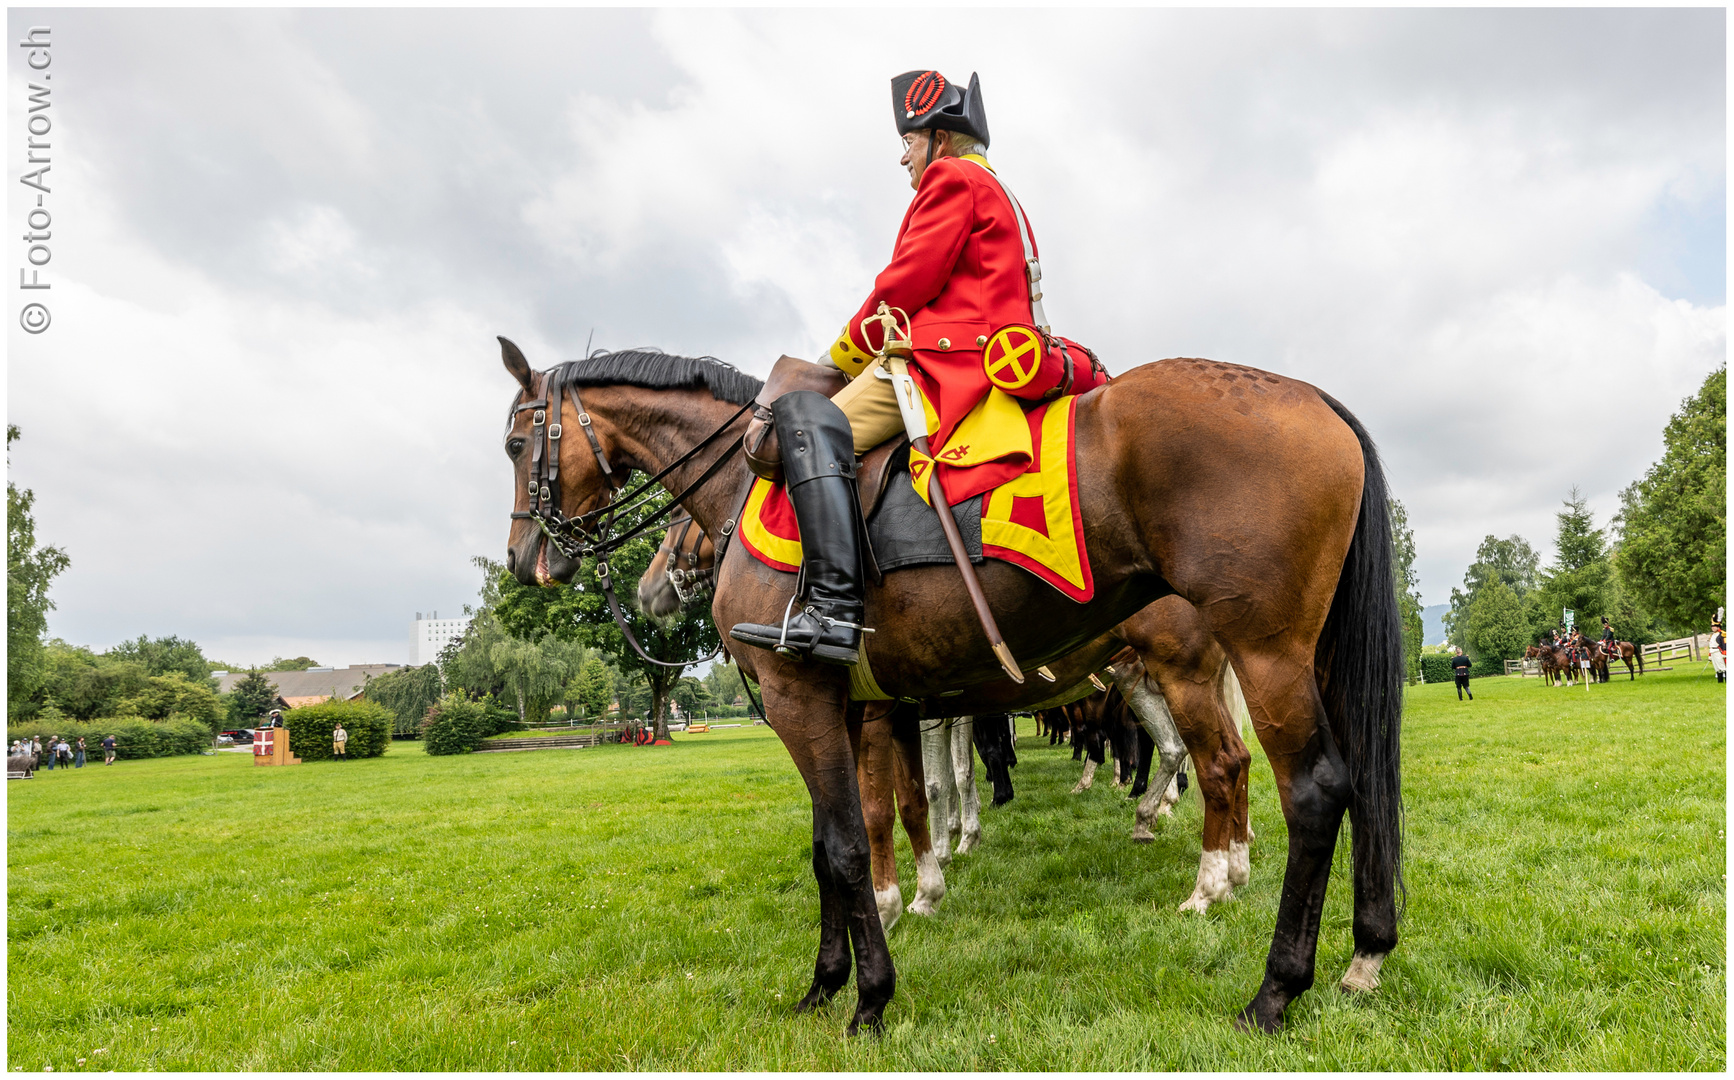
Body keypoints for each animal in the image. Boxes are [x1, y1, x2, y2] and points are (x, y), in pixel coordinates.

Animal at [502, 341, 1408, 1033]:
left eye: (515, 443)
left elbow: (856, 832)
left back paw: (1267, 975)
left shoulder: (816, 702)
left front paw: (873, 984)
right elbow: (855, 829)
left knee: (1295, 784)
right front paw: (831, 977)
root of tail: (1310, 395)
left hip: (1251, 657)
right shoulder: (865, 707)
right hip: (1274, 662)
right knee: (1290, 769)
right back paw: (1344, 940)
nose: (526, 560)